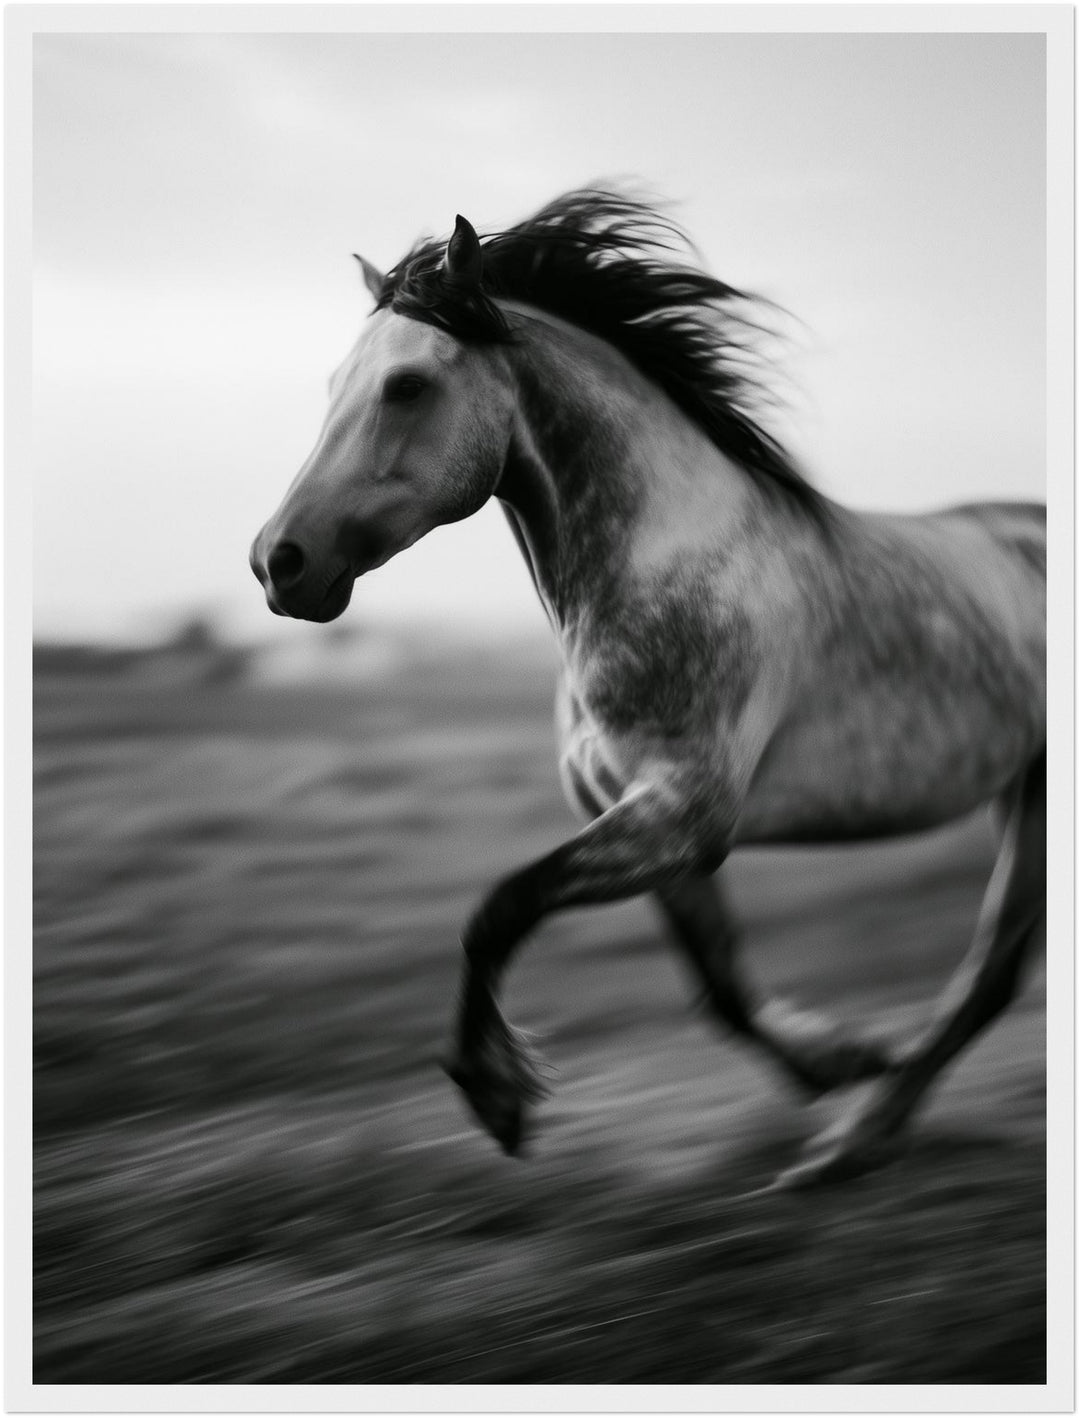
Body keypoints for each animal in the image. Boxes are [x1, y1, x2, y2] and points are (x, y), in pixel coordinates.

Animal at [250, 190, 1046, 1188]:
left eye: (407, 386)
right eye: (333, 388)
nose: (279, 563)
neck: (663, 567)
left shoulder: (681, 815)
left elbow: (497, 909)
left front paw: (497, 1096)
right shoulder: (643, 823)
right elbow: (719, 985)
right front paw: (840, 1059)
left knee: (990, 973)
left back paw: (849, 1143)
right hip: (1024, 789)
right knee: (993, 974)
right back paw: (855, 1135)